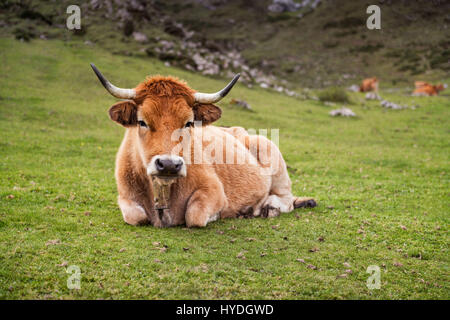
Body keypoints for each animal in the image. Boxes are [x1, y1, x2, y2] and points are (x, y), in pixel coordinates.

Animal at [90, 63, 316, 228]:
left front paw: (217, 215)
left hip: (273, 158)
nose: (169, 164)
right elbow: (136, 216)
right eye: (142, 122)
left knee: (286, 200)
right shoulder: (125, 196)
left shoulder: (214, 190)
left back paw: (266, 207)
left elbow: (195, 215)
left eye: (189, 123)